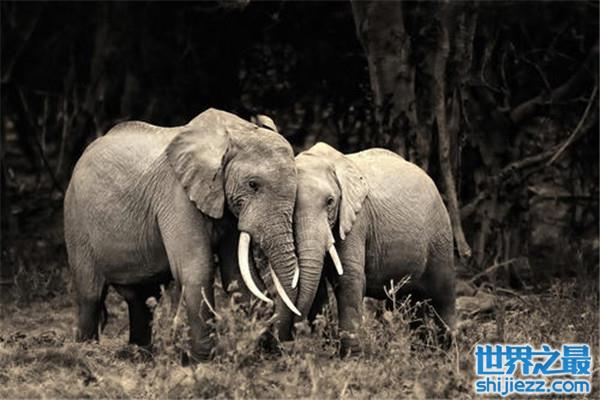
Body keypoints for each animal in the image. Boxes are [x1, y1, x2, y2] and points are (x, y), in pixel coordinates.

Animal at [64, 108, 302, 362]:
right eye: (253, 184)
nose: (284, 346)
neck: (230, 134)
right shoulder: (177, 195)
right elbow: (197, 270)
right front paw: (203, 362)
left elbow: (237, 275)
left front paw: (267, 355)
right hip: (76, 221)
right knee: (90, 294)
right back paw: (85, 354)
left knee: (141, 299)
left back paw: (140, 356)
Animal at [288, 142, 456, 356]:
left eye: (330, 202)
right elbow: (317, 286)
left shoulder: (357, 220)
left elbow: (349, 278)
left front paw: (351, 356)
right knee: (414, 302)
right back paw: (423, 352)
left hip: (439, 234)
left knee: (443, 294)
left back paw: (447, 353)